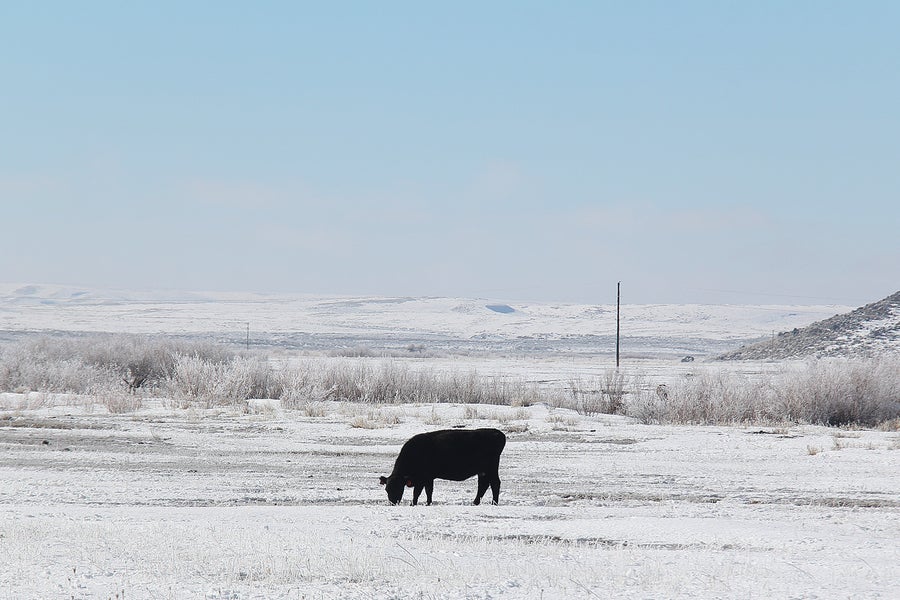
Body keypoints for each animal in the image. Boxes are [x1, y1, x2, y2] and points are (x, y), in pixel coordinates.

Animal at [378, 426, 506, 506]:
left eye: (399, 488)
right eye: (386, 489)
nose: (392, 502)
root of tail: (497, 433)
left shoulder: (423, 478)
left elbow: (418, 492)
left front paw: (414, 503)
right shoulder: (428, 478)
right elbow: (428, 491)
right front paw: (428, 503)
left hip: (490, 469)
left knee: (495, 483)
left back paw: (494, 503)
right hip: (483, 471)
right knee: (483, 485)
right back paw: (475, 503)